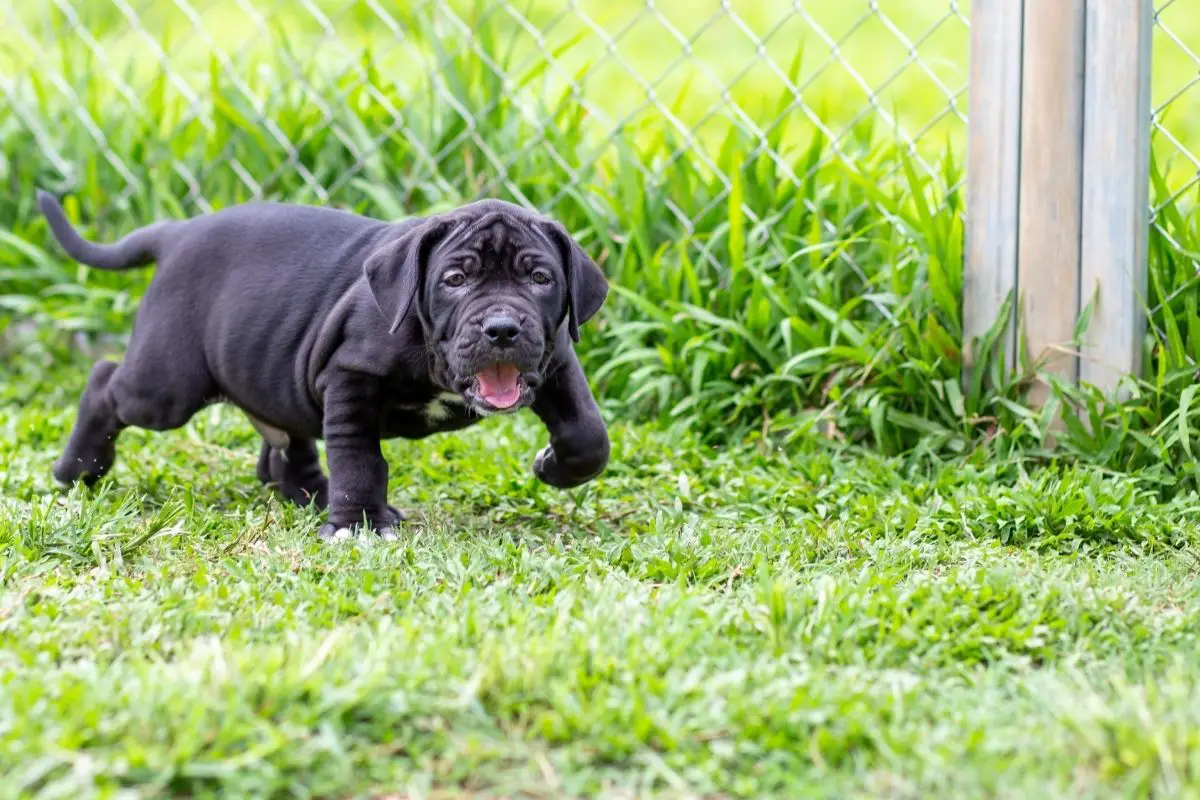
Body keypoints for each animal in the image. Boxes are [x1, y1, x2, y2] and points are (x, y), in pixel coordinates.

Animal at [37, 194, 609, 542]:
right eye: (455, 280)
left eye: (540, 278)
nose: (503, 329)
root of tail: (177, 234)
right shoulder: (351, 377)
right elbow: (359, 457)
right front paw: (356, 526)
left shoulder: (557, 358)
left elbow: (589, 434)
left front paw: (552, 465)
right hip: (166, 386)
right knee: (105, 382)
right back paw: (77, 470)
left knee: (285, 448)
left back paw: (314, 497)